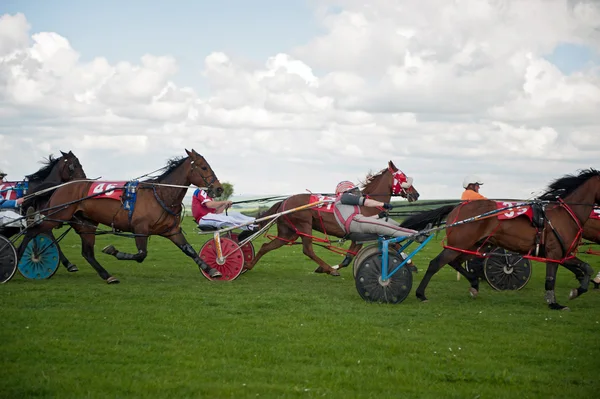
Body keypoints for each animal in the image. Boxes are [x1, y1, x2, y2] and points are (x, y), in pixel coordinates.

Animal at [22, 150, 225, 284]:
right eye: (204, 167)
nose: (219, 189)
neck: (160, 194)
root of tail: (61, 186)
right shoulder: (140, 229)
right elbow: (141, 254)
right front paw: (113, 250)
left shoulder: (171, 230)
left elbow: (189, 250)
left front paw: (211, 269)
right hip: (56, 216)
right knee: (32, 231)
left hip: (85, 223)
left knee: (87, 252)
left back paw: (107, 276)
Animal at [244, 161, 418, 276]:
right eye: (403, 177)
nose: (416, 194)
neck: (367, 204)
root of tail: (283, 202)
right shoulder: (368, 230)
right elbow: (394, 244)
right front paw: (410, 263)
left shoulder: (358, 236)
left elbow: (349, 257)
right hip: (303, 225)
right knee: (308, 250)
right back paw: (328, 268)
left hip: (288, 233)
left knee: (266, 246)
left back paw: (248, 265)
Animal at [400, 168, 600, 310]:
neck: (563, 215)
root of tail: (457, 208)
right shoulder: (554, 253)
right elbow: (551, 279)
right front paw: (555, 303)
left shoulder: (562, 254)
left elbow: (586, 268)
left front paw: (578, 290)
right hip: (461, 244)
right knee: (436, 263)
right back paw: (421, 294)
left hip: (472, 246)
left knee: (455, 262)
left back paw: (474, 284)